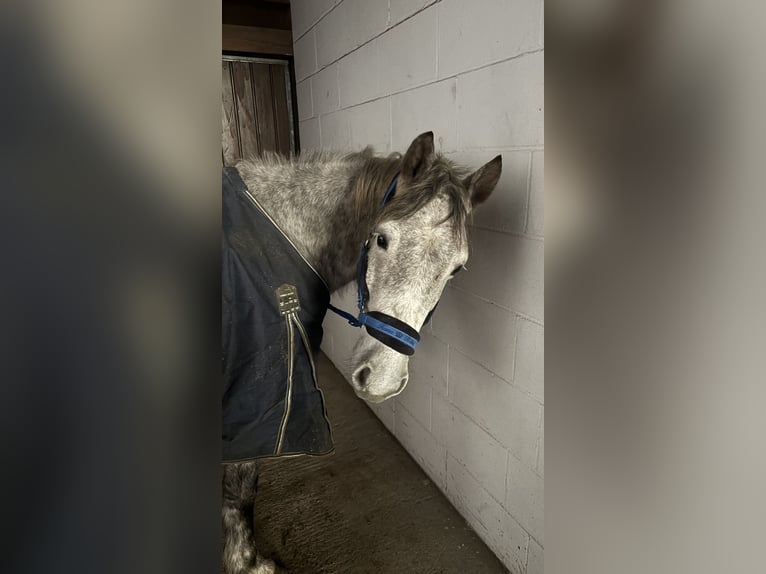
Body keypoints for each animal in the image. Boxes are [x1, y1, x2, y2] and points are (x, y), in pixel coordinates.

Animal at [222, 132, 502, 573]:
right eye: (382, 238)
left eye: (457, 268)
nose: (382, 381)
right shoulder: (253, 402)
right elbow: (242, 483)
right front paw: (245, 562)